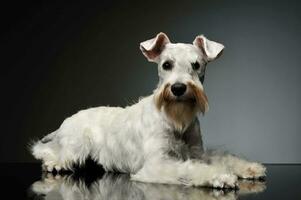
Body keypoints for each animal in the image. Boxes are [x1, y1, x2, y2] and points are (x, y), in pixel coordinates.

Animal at [31, 32, 264, 188]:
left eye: (196, 65)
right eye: (166, 64)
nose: (178, 88)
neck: (175, 120)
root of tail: (66, 121)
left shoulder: (198, 153)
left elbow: (221, 158)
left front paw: (248, 168)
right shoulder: (159, 163)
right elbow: (189, 168)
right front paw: (220, 176)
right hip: (75, 146)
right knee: (46, 151)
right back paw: (52, 162)